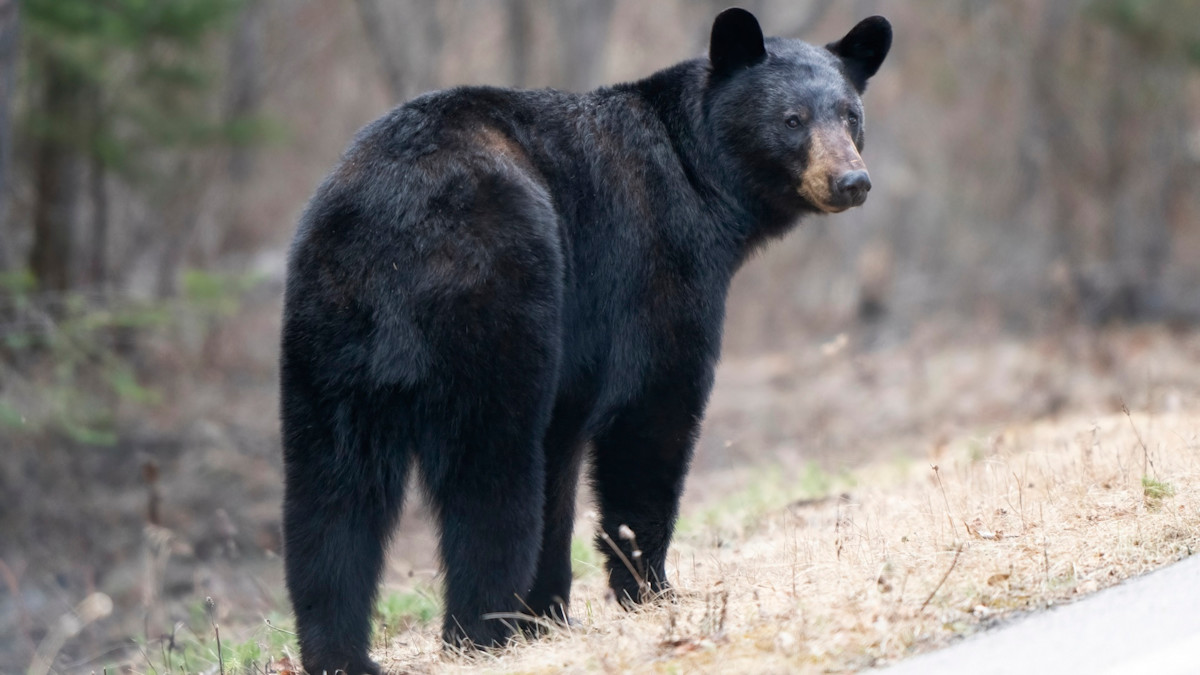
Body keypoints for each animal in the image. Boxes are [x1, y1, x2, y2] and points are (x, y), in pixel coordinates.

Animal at [280, 8, 890, 674]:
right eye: (792, 119)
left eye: (851, 115)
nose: (851, 180)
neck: (699, 177)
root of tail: (392, 222)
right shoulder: (651, 269)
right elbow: (652, 418)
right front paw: (650, 590)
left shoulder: (578, 355)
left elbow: (562, 457)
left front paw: (549, 614)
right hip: (498, 293)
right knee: (490, 474)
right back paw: (479, 633)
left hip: (330, 331)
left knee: (332, 491)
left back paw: (342, 653)